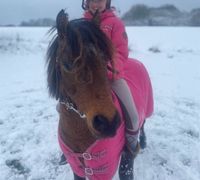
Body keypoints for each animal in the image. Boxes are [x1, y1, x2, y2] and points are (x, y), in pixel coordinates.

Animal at [46, 9, 153, 180]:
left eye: (104, 60)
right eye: (67, 65)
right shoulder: (77, 168)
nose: (108, 123)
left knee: (142, 124)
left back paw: (142, 142)